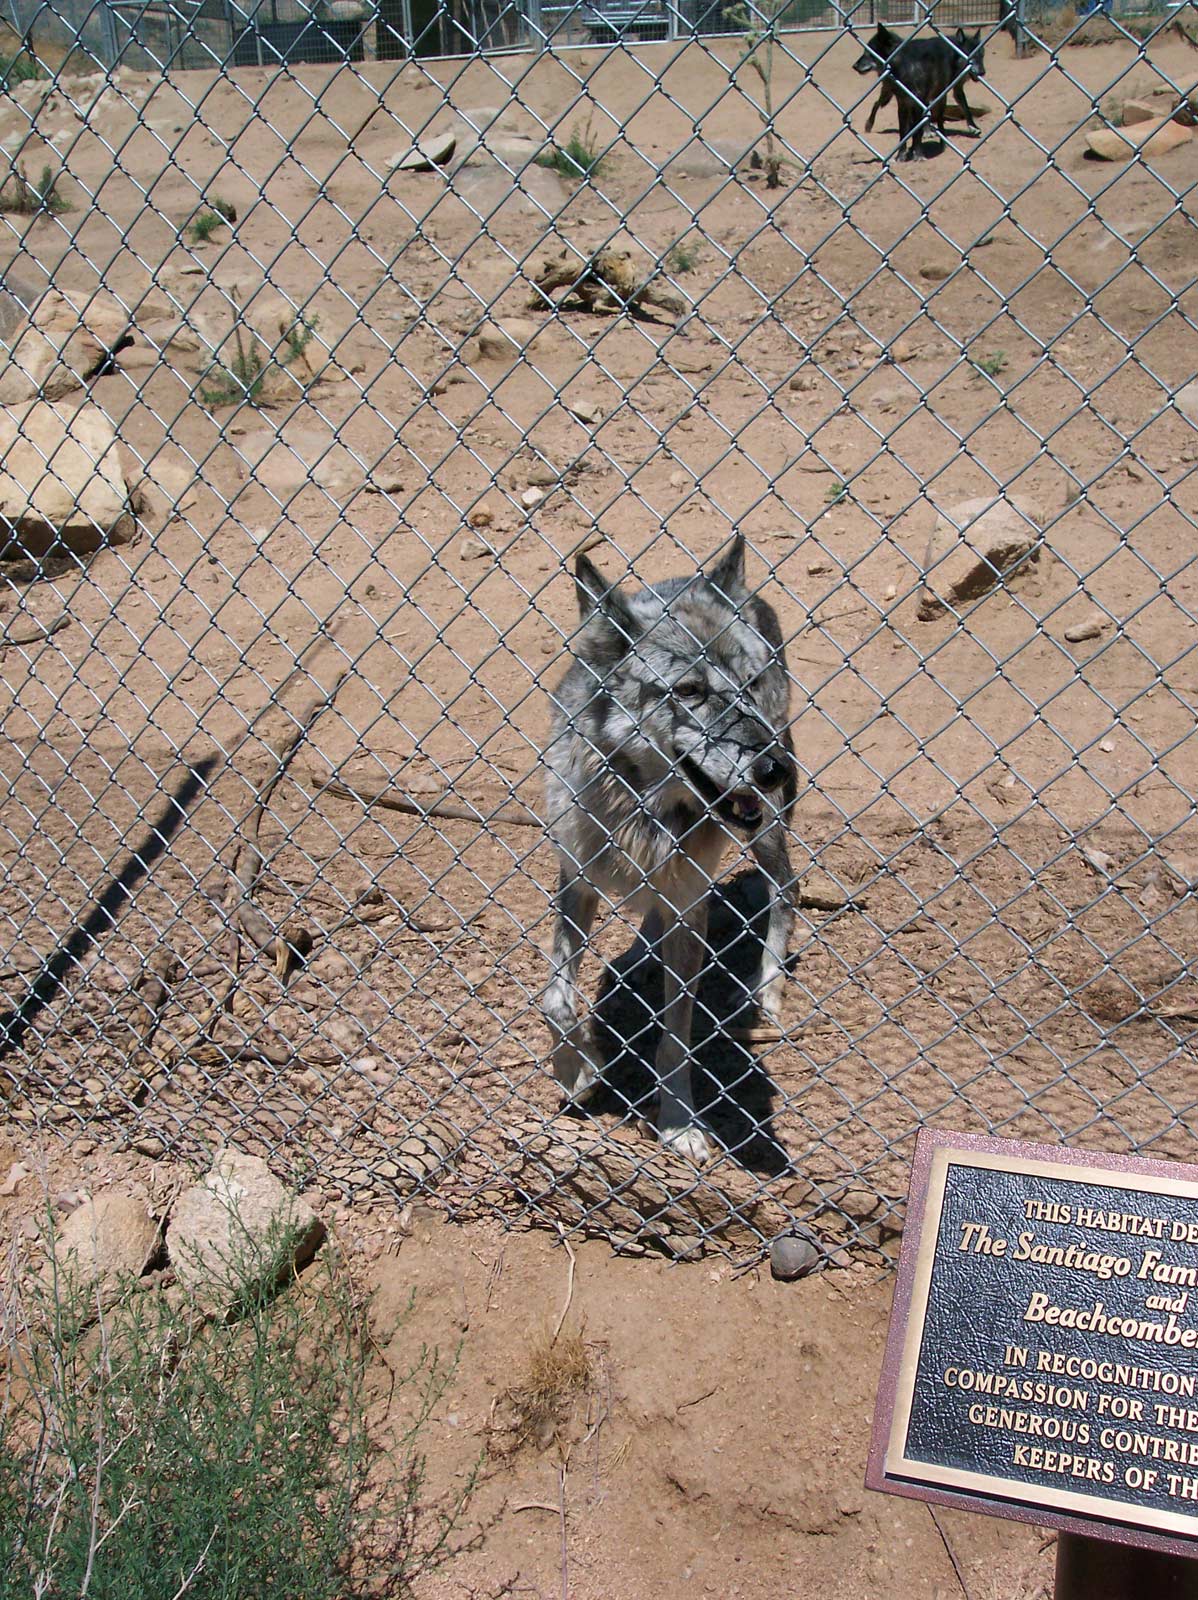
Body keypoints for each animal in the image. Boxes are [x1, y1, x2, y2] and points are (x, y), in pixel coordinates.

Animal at [542, 534, 797, 1164]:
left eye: (749, 684)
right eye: (690, 691)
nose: (774, 768)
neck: (643, 813)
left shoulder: (689, 908)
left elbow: (674, 1040)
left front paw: (679, 1121)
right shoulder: (576, 883)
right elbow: (555, 999)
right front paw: (577, 1072)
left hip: (766, 828)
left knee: (785, 889)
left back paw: (767, 990)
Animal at [854, 24, 986, 160]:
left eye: (981, 56)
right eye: (866, 52)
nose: (982, 72)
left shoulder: (951, 91)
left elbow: (965, 108)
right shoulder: (903, 103)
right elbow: (904, 132)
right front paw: (901, 155)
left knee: (936, 121)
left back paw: (938, 143)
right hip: (891, 93)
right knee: (877, 103)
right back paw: (869, 125)